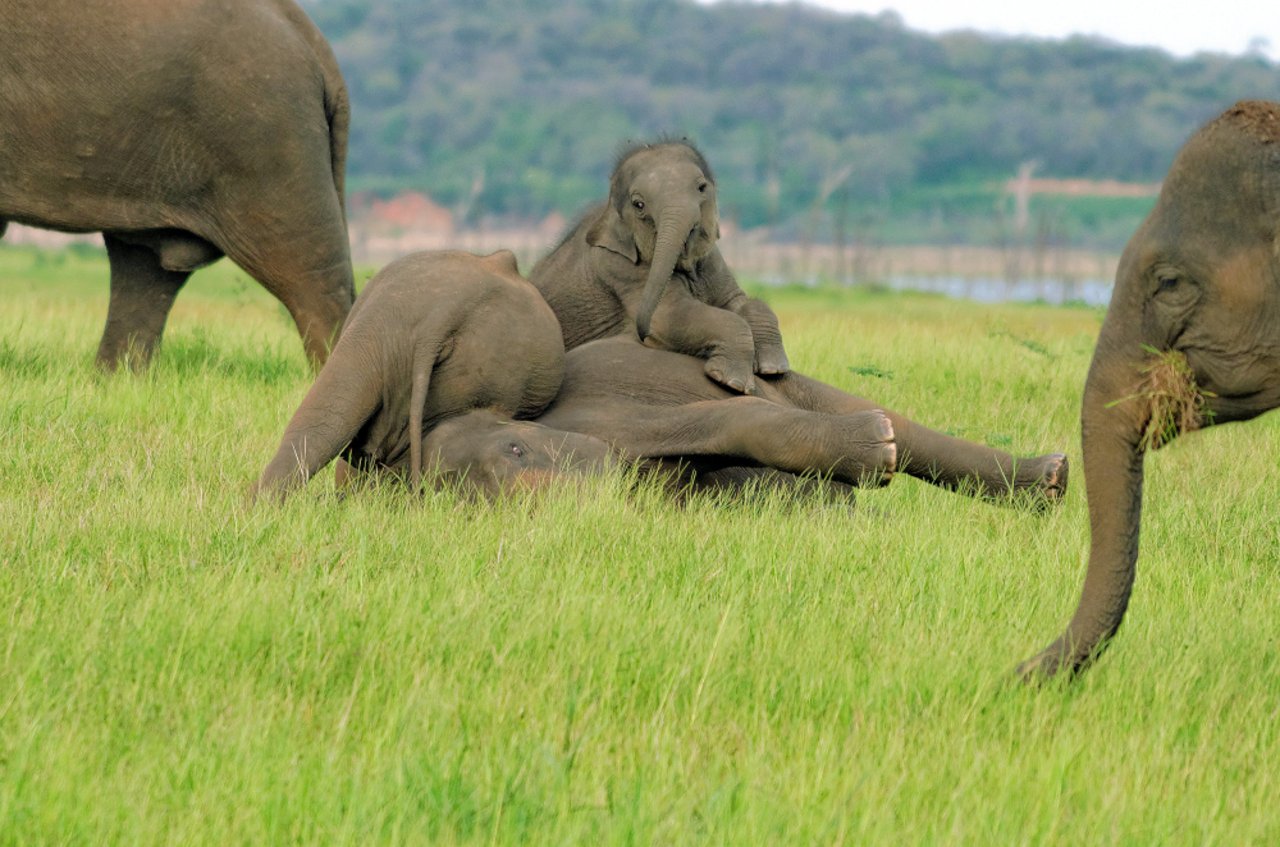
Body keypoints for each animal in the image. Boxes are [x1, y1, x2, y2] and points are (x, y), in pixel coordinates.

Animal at [529, 140, 788, 396]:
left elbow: (737, 301)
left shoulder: (712, 261)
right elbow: (670, 315)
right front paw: (731, 382)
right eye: (639, 204)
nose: (641, 335)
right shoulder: (621, 269)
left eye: (702, 187)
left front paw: (772, 368)